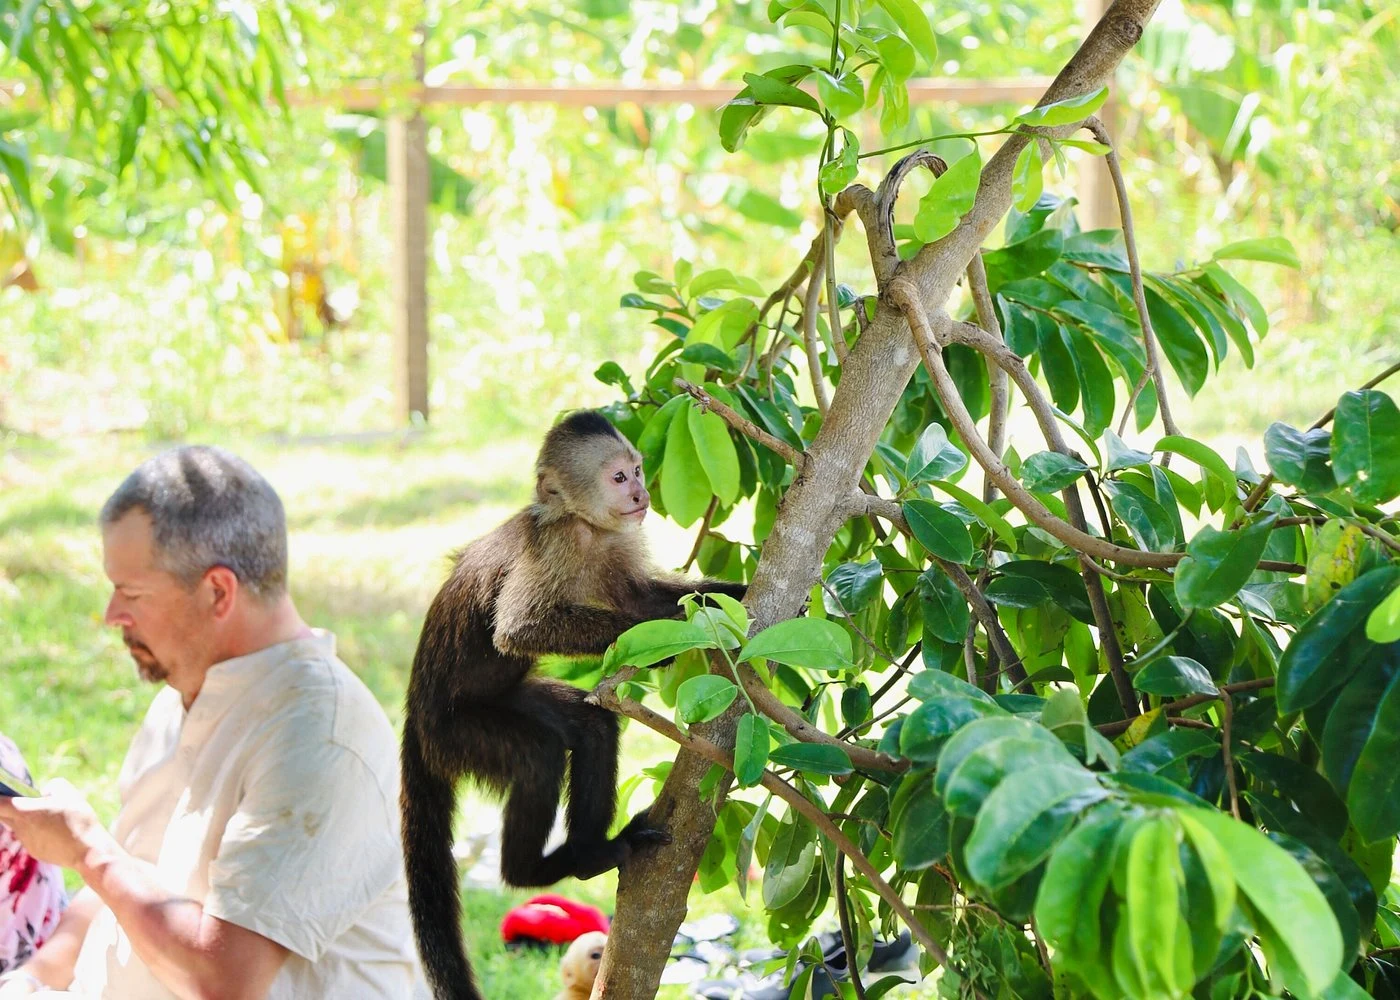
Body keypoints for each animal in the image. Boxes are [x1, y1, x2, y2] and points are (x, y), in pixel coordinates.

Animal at [400, 410, 748, 1000]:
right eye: (618, 477)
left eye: (638, 470)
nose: (640, 494)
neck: (585, 525)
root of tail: (412, 717)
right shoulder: (558, 544)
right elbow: (520, 629)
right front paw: (680, 630)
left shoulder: (617, 542)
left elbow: (640, 596)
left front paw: (728, 595)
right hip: (456, 734)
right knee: (536, 754)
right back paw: (531, 872)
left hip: (510, 703)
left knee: (589, 725)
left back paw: (591, 851)